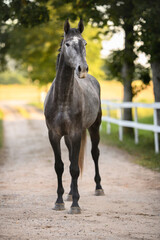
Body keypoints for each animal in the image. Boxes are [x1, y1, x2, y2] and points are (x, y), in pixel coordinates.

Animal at [44, 19, 104, 214]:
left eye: (84, 43)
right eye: (68, 44)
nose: (82, 68)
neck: (63, 99)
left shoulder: (76, 133)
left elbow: (75, 168)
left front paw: (76, 204)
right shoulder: (54, 135)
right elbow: (60, 166)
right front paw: (59, 201)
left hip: (94, 127)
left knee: (94, 153)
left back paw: (98, 188)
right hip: (68, 137)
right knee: (71, 157)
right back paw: (69, 193)